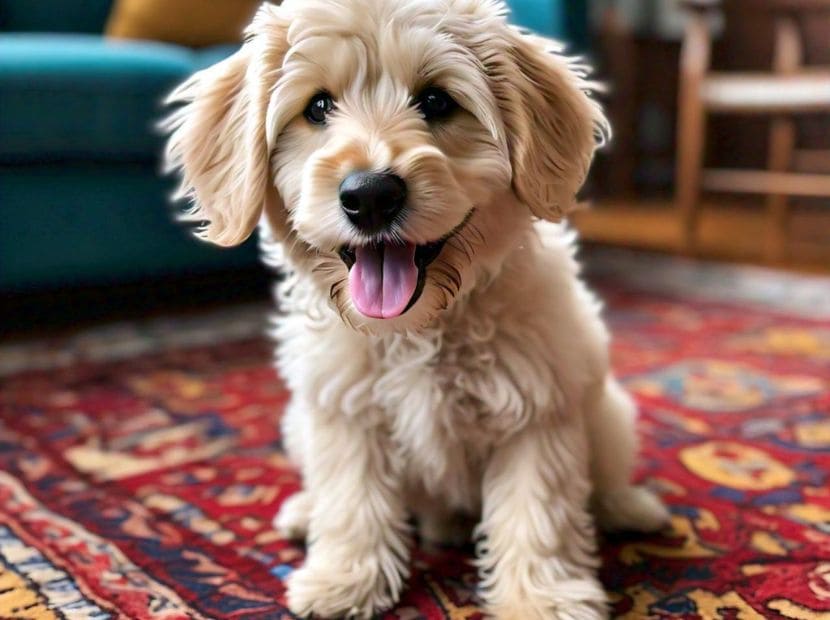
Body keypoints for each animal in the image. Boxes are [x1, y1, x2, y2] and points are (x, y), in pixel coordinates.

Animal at [162, 1, 668, 616]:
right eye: (318, 107)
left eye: (436, 101)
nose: (370, 195)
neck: (419, 329)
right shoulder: (344, 410)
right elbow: (351, 500)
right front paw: (343, 579)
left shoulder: (538, 406)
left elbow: (538, 514)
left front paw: (541, 598)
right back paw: (305, 514)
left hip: (608, 412)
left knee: (602, 479)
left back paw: (628, 507)